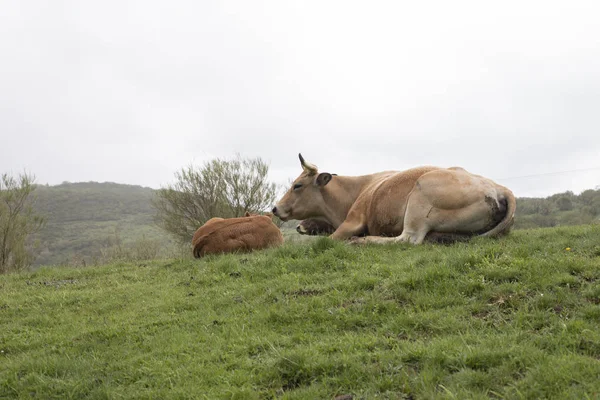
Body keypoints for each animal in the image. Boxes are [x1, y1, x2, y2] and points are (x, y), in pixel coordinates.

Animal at [272, 155, 516, 245]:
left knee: (408, 239)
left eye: (297, 185)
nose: (275, 208)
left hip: (419, 198)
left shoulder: (351, 221)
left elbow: (328, 240)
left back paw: (364, 240)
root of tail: (499, 188)